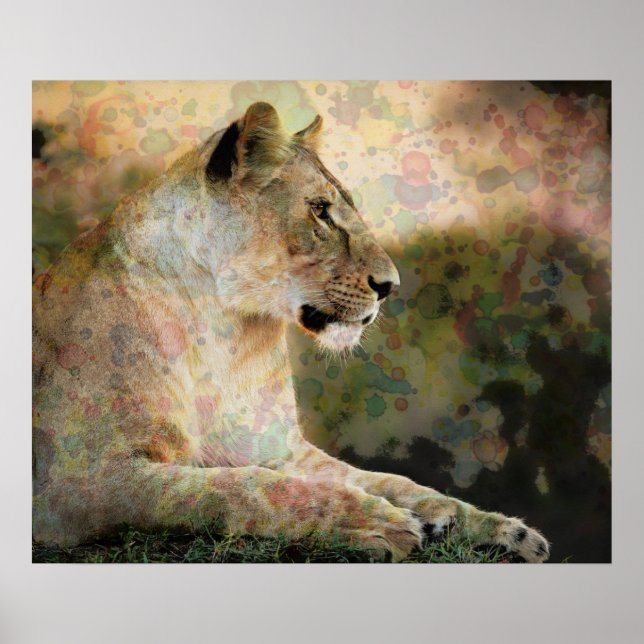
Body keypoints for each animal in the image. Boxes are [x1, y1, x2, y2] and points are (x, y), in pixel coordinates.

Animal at [32, 101, 549, 562]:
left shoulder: (279, 448)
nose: (390, 287)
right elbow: (241, 491)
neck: (224, 330)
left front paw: (497, 529)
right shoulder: (78, 483)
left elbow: (384, 480)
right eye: (320, 211)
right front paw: (375, 522)